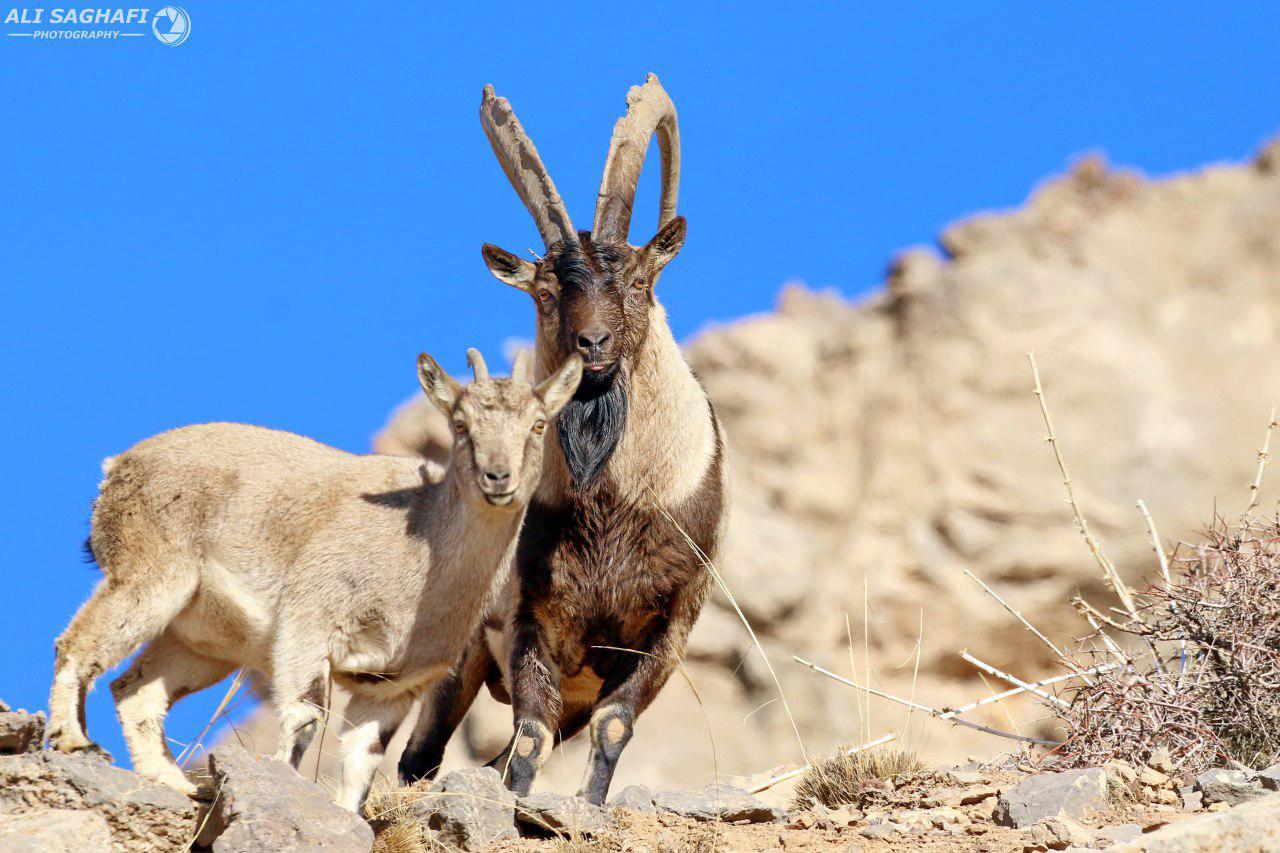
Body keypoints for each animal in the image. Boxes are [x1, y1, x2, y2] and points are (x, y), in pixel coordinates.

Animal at [46, 348, 586, 809]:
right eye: (460, 424)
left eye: (538, 424)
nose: (498, 478)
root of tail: (118, 466)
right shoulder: (309, 627)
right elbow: (305, 720)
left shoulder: (390, 687)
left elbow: (362, 765)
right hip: (150, 574)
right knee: (77, 643)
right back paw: (74, 742)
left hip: (203, 644)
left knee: (135, 691)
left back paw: (176, 783)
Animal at [399, 74, 727, 804]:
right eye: (546, 292)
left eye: (636, 281)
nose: (593, 344)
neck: (614, 505)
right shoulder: (531, 619)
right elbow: (529, 737)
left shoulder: (668, 630)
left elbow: (611, 727)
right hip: (460, 654)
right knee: (420, 756)